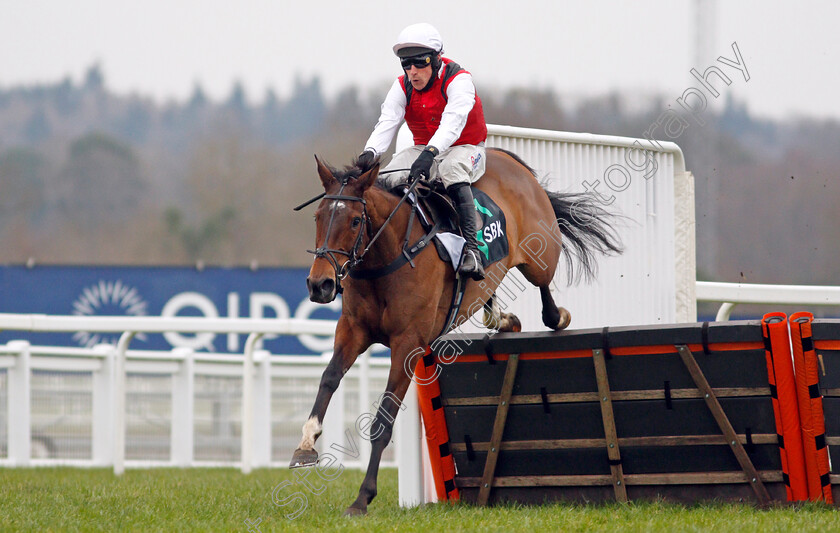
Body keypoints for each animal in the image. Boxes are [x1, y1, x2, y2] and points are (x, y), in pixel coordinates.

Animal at [292, 148, 620, 512]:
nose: (320, 284)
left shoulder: (408, 343)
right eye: (318, 217)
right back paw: (505, 320)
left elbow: (384, 416)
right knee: (495, 303)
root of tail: (508, 159)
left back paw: (555, 316)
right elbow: (329, 377)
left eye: (354, 221)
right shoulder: (353, 329)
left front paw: (363, 497)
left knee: (545, 291)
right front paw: (307, 442)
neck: (387, 258)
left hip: (540, 255)